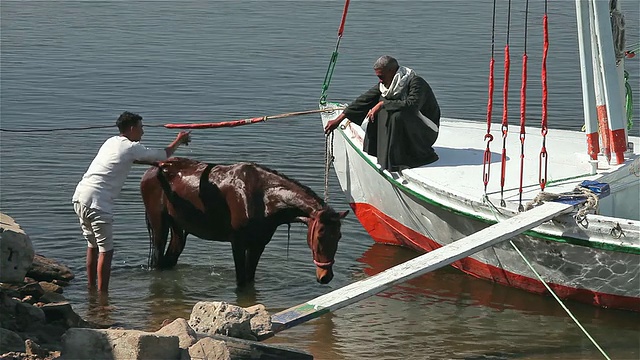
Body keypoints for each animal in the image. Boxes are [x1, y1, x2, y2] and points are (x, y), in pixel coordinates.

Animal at [141, 158, 350, 286]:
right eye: (320, 236)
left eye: (339, 237)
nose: (326, 277)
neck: (263, 198)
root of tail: (153, 169)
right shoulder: (238, 243)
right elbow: (242, 281)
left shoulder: (258, 244)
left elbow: (250, 278)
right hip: (160, 225)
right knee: (158, 260)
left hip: (178, 228)